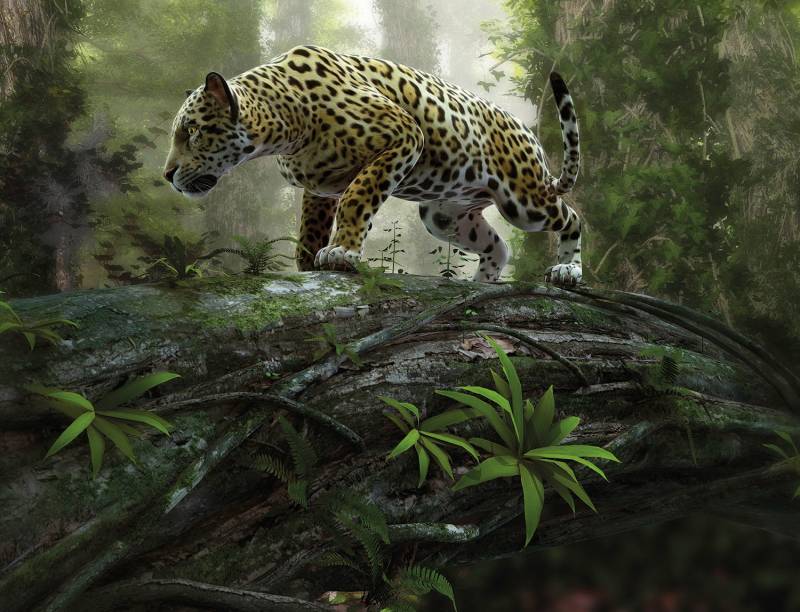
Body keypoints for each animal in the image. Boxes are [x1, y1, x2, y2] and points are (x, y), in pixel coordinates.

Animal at [163, 45, 582, 284]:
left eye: (192, 131)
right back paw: (478, 283)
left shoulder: (403, 136)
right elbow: (310, 228)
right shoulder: (320, 186)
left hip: (523, 201)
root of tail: (526, 131)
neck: (285, 121)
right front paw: (309, 266)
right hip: (444, 216)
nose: (167, 175)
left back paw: (568, 270)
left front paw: (341, 253)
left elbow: (357, 198)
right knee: (499, 246)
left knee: (572, 217)